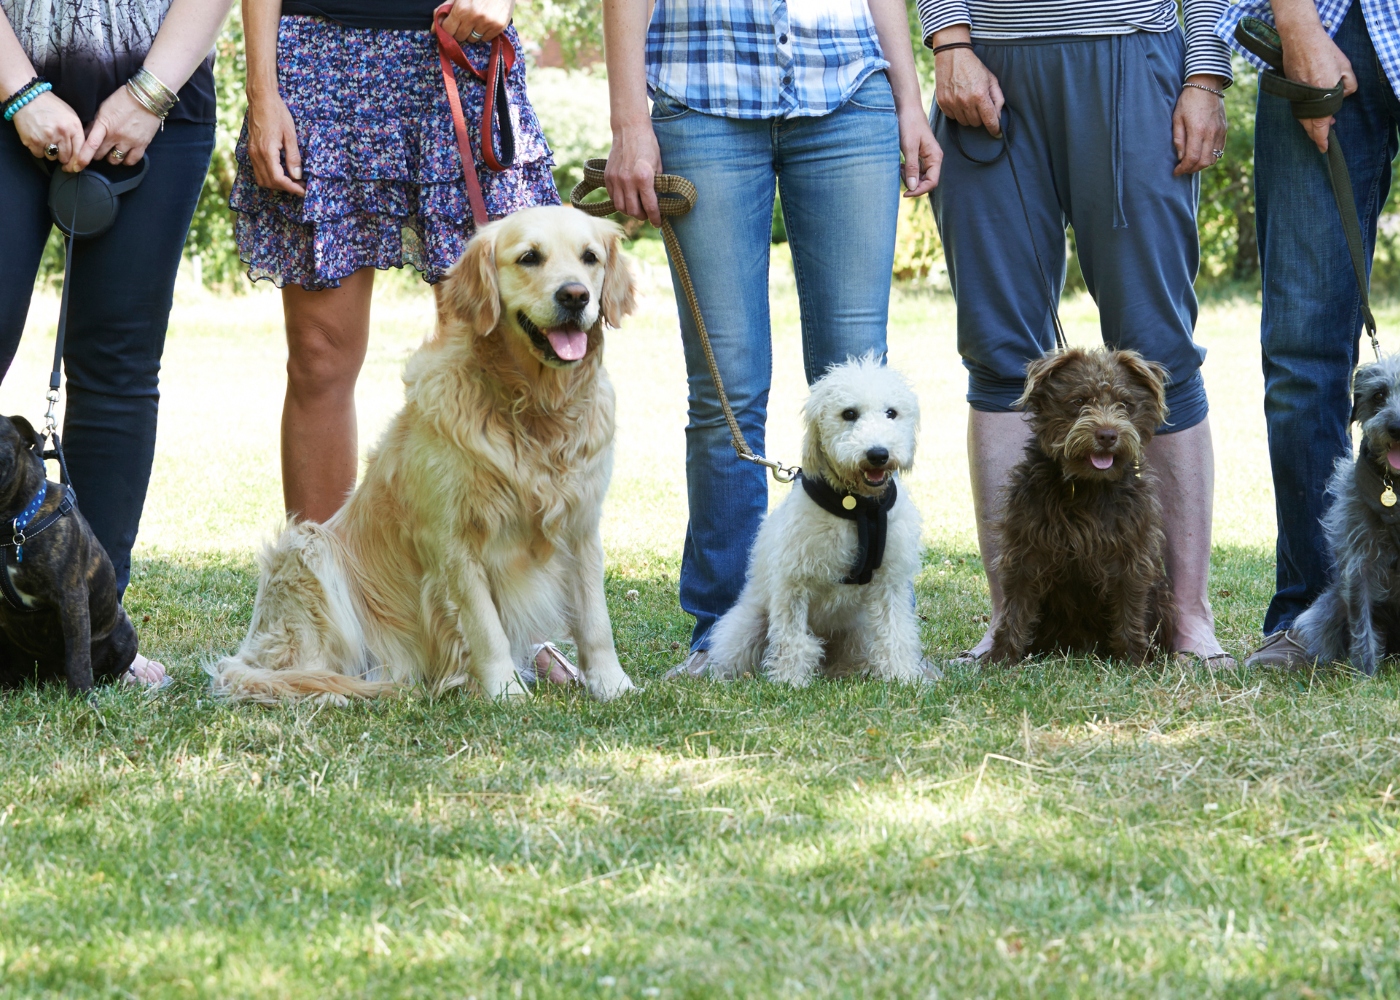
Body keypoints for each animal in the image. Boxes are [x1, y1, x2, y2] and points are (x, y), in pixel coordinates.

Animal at [208, 204, 641, 700]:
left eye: (590, 258)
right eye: (529, 257)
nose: (575, 296)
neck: (533, 407)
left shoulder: (582, 525)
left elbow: (595, 621)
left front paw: (613, 685)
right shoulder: (452, 539)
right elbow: (486, 627)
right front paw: (505, 692)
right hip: (307, 548)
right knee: (296, 668)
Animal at [711, 358, 929, 686]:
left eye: (891, 413)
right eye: (849, 413)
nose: (878, 454)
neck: (856, 506)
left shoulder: (890, 582)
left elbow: (895, 631)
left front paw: (901, 675)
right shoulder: (793, 581)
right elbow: (792, 639)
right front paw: (789, 680)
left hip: (858, 631)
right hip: (747, 624)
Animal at [991, 347, 1176, 666]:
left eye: (1126, 404)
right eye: (1078, 401)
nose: (1107, 435)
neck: (1087, 486)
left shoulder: (1131, 554)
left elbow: (1129, 609)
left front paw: (1135, 660)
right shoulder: (1025, 549)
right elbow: (1015, 607)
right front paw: (1001, 659)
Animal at [1293, 354, 1400, 675]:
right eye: (1378, 395)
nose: (1397, 426)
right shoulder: (1359, 563)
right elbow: (1361, 623)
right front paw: (1365, 673)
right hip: (1324, 610)